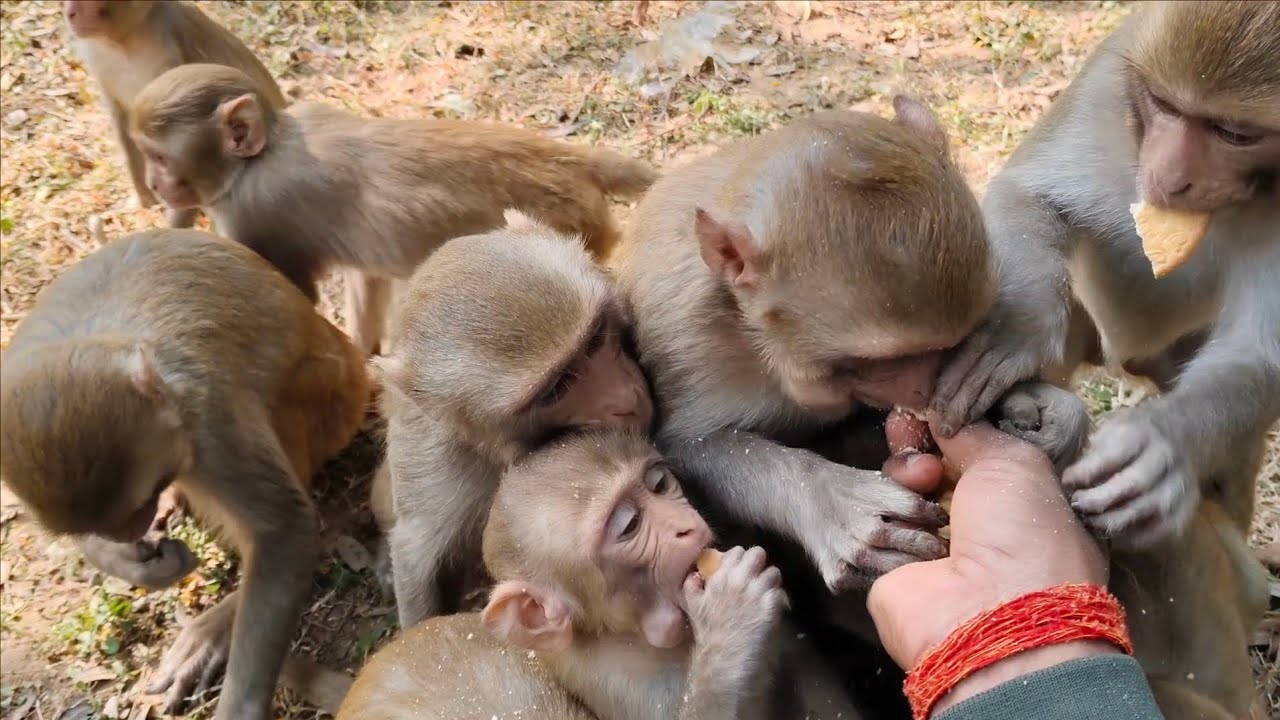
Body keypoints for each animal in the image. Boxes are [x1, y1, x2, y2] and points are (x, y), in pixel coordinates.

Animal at [0, 229, 370, 720]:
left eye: (139, 503)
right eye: (114, 524)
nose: (130, 529)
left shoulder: (210, 420)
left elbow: (285, 529)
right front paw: (129, 561)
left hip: (335, 398)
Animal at [63, 0, 285, 229]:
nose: (70, 13)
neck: (128, 42)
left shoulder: (171, 55)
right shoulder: (98, 58)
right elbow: (122, 120)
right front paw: (145, 200)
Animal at [127, 64, 659, 356]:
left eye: (160, 158)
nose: (153, 185)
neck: (263, 151)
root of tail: (567, 159)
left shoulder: (250, 215)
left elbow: (292, 298)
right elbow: (366, 277)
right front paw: (363, 350)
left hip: (572, 223)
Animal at [615, 99, 992, 596]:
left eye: (953, 343)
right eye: (880, 361)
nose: (923, 393)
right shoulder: (685, 337)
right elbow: (684, 447)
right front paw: (832, 502)